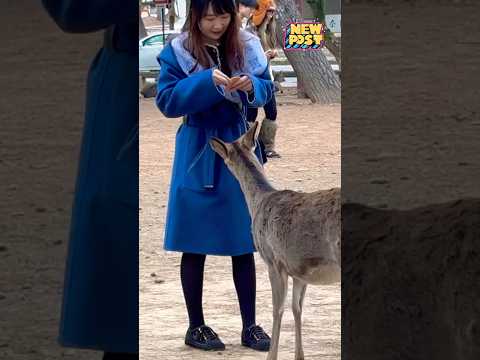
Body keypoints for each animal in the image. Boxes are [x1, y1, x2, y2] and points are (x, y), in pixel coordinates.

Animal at [211, 121, 342, 360]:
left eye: (225, 157)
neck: (258, 202)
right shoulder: (299, 270)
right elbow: (297, 308)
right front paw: (299, 356)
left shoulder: (273, 261)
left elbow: (277, 309)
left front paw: (271, 354)